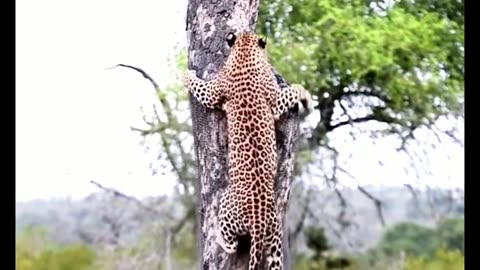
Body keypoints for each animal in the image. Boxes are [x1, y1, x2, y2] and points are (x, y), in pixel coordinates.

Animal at [182, 32, 314, 270]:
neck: (246, 51)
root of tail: (259, 223)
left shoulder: (214, 91)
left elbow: (199, 86)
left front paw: (185, 74)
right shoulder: (276, 101)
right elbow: (294, 90)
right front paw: (306, 96)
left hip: (226, 203)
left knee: (231, 243)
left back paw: (217, 239)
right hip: (275, 240)